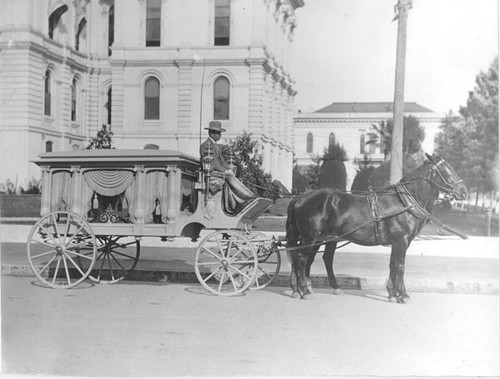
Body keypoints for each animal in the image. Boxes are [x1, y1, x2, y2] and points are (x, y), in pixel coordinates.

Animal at [288, 153, 466, 304]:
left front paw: (392, 294)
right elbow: (400, 267)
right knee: (301, 258)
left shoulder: (398, 242)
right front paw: (404, 295)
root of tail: (300, 197)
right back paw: (304, 291)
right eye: (445, 170)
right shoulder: (401, 240)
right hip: (310, 236)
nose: (463, 192)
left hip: (325, 237)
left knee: (315, 258)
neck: (404, 201)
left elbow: (392, 265)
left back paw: (307, 289)